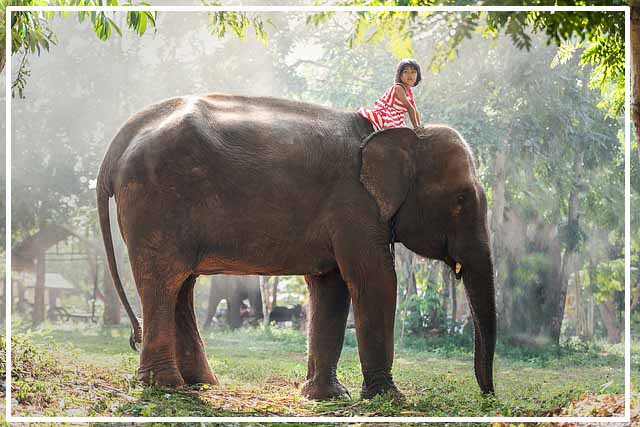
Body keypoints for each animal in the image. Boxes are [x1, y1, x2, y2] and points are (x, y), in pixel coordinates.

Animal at [96, 93, 496, 402]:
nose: (488, 396)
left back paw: (200, 385)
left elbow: (331, 287)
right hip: (156, 200)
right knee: (163, 281)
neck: (401, 135)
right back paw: (165, 387)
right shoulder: (355, 205)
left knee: (182, 285)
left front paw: (326, 396)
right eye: (460, 199)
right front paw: (388, 398)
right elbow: (375, 280)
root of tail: (122, 138)